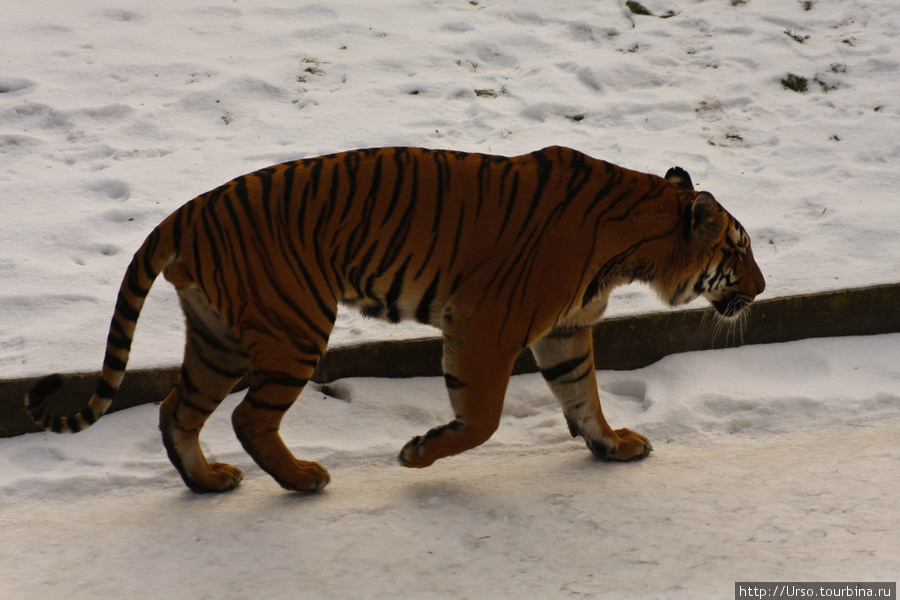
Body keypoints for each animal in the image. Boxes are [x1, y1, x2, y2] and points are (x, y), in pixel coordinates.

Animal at [24, 144, 764, 492]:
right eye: (739, 251)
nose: (759, 290)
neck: (634, 241)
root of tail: (186, 212)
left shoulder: (564, 330)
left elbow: (584, 397)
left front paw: (612, 446)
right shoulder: (488, 325)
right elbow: (483, 418)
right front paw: (418, 453)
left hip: (218, 338)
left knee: (175, 409)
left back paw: (207, 483)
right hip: (295, 326)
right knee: (247, 417)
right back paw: (303, 480)